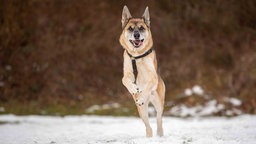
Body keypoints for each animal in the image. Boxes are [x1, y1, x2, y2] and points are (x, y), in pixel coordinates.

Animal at [118, 5, 165, 137]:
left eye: (141, 28)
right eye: (130, 28)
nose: (137, 35)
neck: (137, 56)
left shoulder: (153, 77)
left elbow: (148, 86)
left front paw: (142, 95)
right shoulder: (127, 73)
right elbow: (124, 80)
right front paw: (134, 88)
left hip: (159, 102)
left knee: (159, 118)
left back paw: (160, 133)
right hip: (142, 110)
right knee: (148, 125)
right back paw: (149, 136)